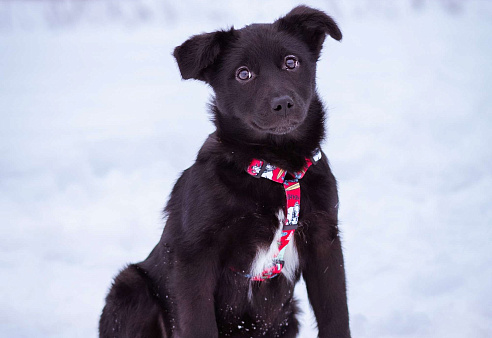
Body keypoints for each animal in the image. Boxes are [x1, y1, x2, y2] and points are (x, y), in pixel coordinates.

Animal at [99, 5, 350, 338]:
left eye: (291, 62)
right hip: (129, 286)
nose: (283, 103)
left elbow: (336, 315)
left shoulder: (325, 241)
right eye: (243, 74)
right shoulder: (194, 256)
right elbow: (199, 323)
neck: (276, 171)